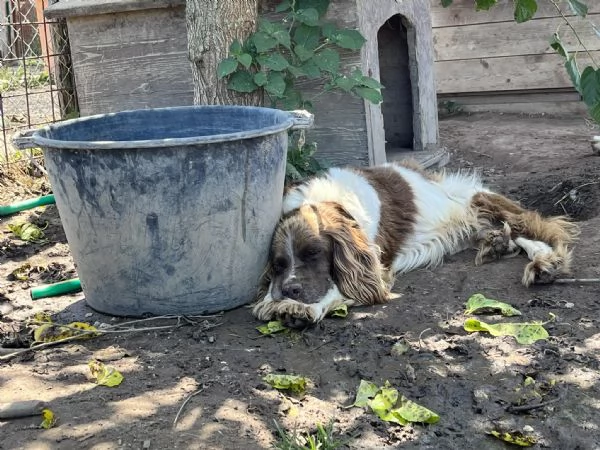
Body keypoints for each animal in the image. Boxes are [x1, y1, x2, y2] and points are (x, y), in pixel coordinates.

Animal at [252, 162, 576, 326]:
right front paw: (274, 300)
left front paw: (298, 308)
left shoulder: (374, 266)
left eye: (314, 253)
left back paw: (545, 261)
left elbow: (346, 286)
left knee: (536, 229)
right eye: (279, 263)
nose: (290, 290)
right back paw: (498, 244)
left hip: (478, 200)